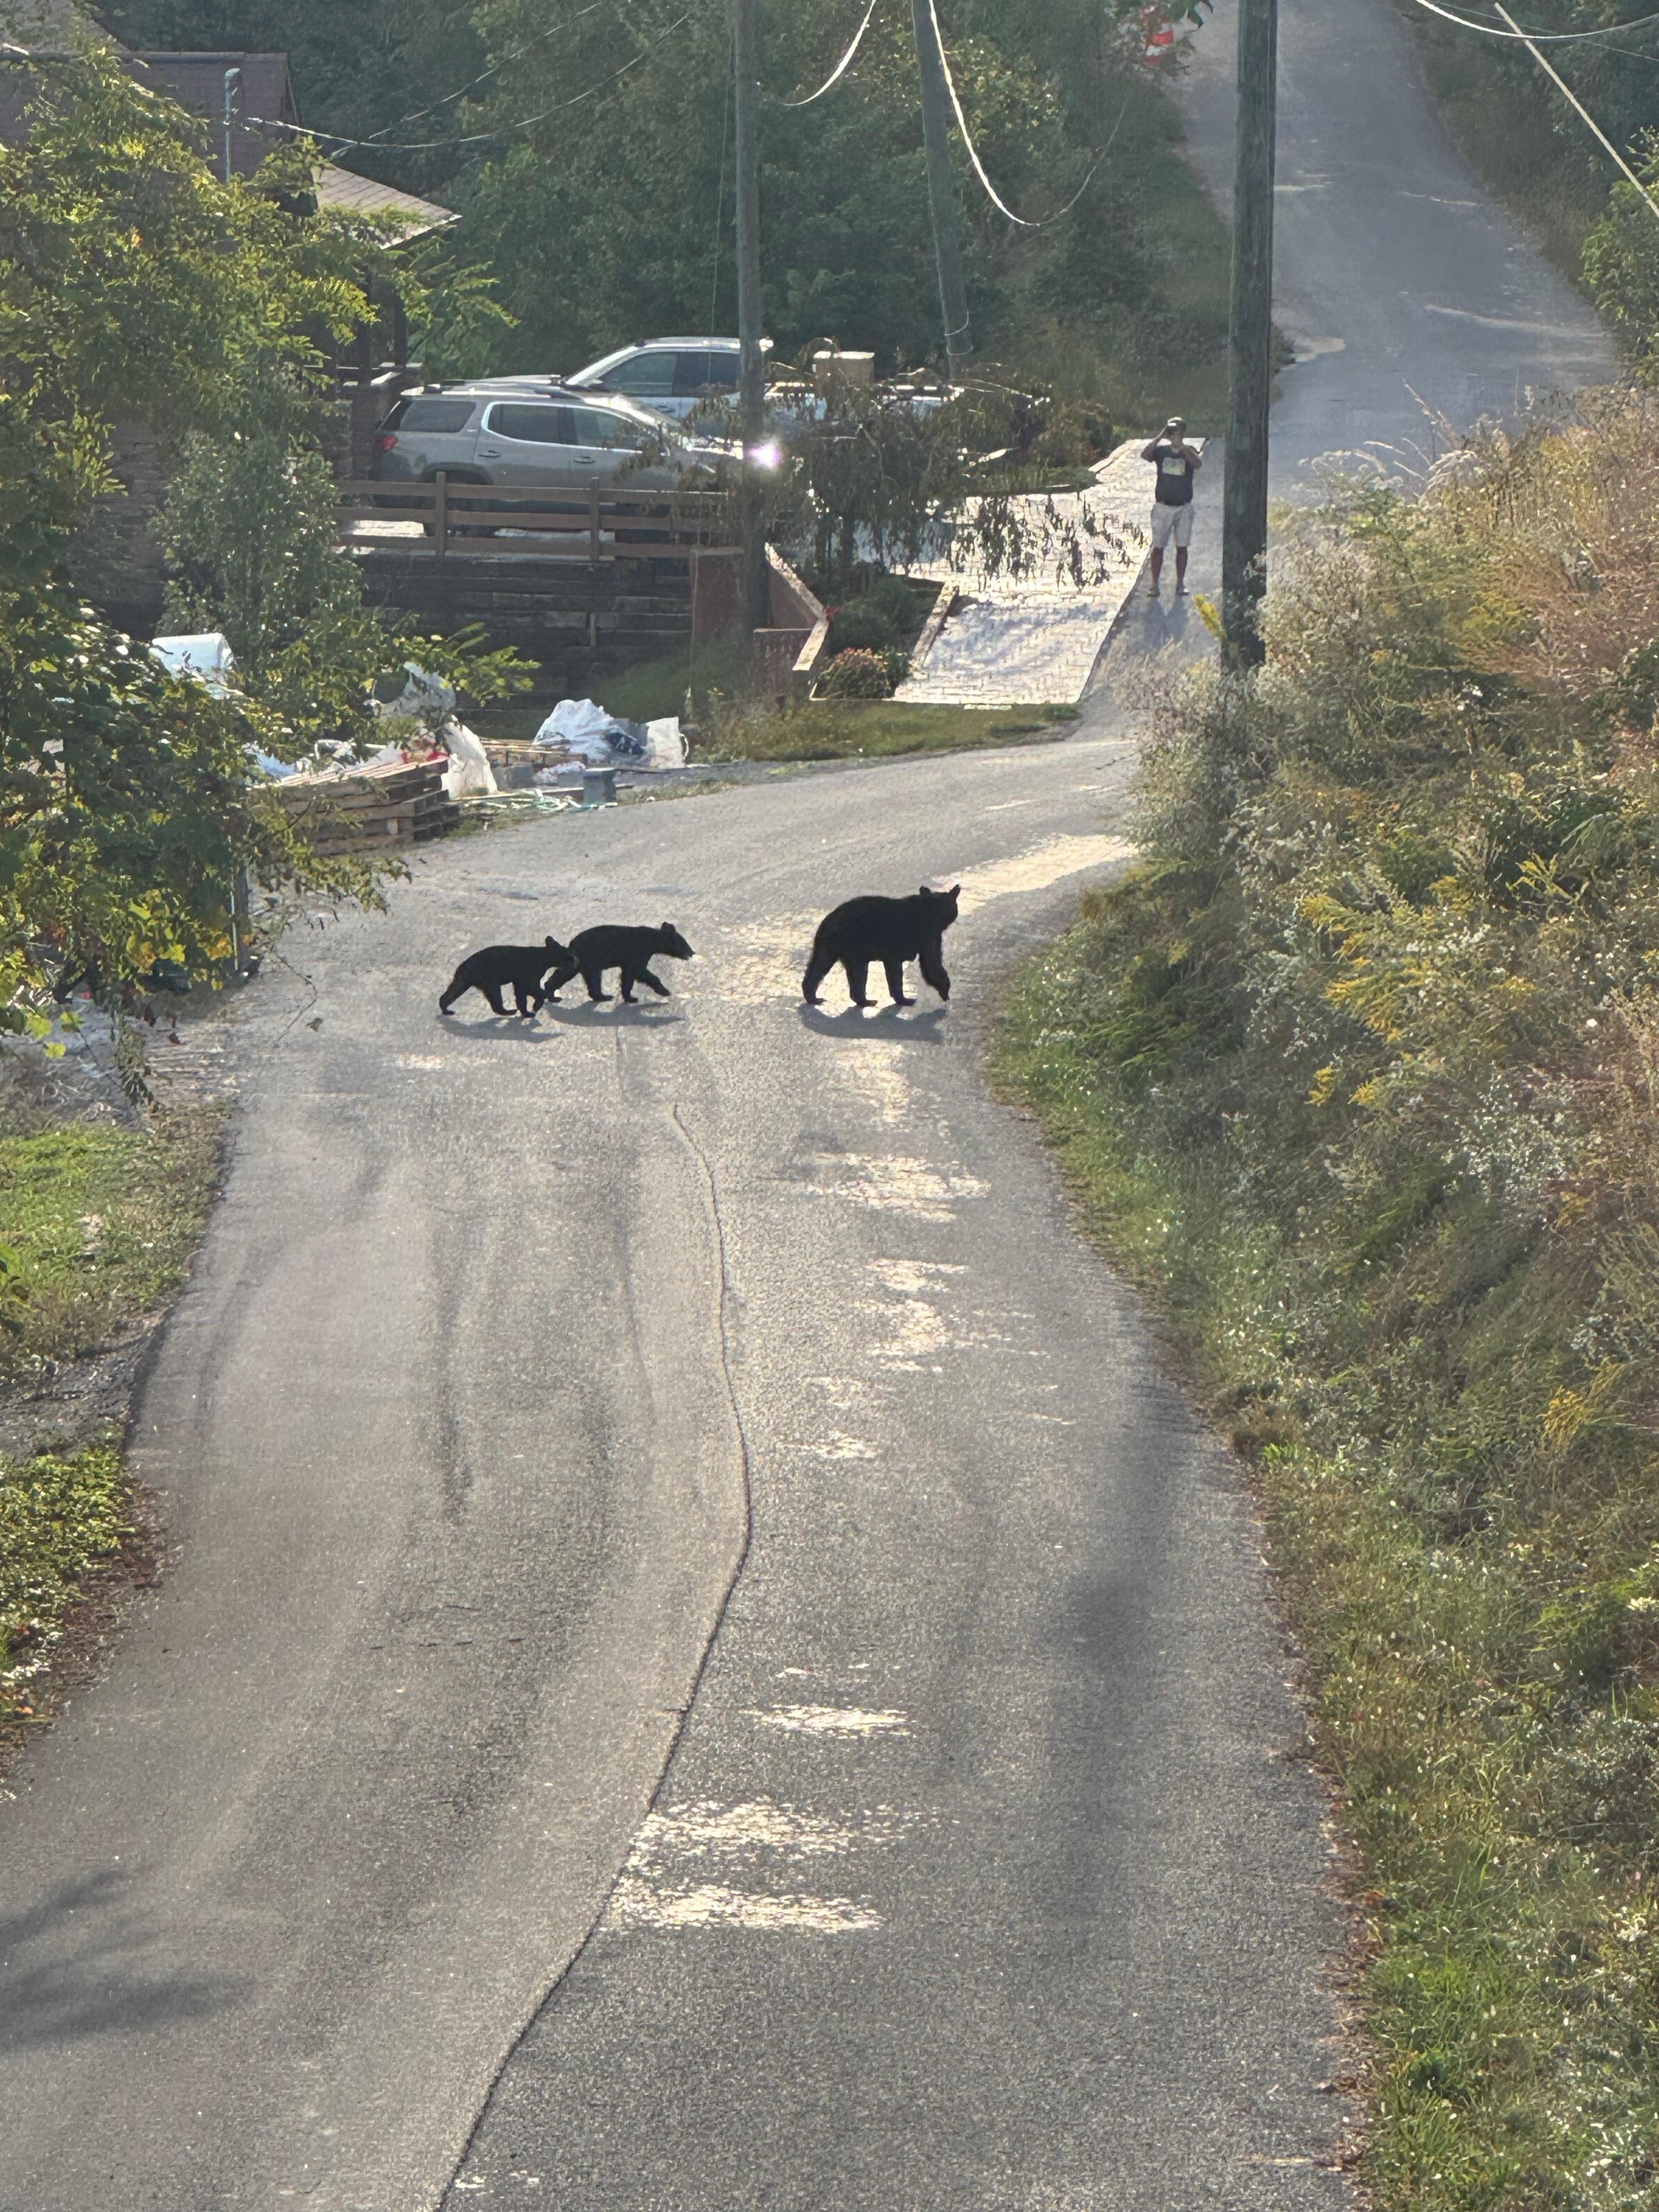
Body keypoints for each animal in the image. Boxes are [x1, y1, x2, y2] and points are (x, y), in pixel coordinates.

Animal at [439, 936, 579, 1018]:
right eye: (570, 955)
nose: (577, 960)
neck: (544, 959)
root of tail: (463, 966)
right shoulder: (529, 972)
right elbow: (531, 987)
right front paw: (537, 1004)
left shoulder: (520, 979)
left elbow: (521, 994)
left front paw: (527, 1011)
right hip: (488, 978)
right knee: (495, 996)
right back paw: (509, 1011)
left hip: (466, 979)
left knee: (455, 989)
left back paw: (445, 1008)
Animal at [569, 922, 695, 1003]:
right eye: (685, 943)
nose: (693, 952)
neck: (652, 941)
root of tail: (572, 945)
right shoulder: (638, 953)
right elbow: (639, 971)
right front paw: (665, 991)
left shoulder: (629, 961)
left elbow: (628, 976)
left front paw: (629, 997)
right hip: (591, 960)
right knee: (594, 978)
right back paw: (604, 996)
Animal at [801, 884, 961, 1009]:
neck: (930, 913)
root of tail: (828, 920)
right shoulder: (924, 935)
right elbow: (931, 963)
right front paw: (942, 992)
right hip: (853, 943)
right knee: (855, 972)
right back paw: (865, 1001)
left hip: (830, 945)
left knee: (820, 965)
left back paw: (815, 996)